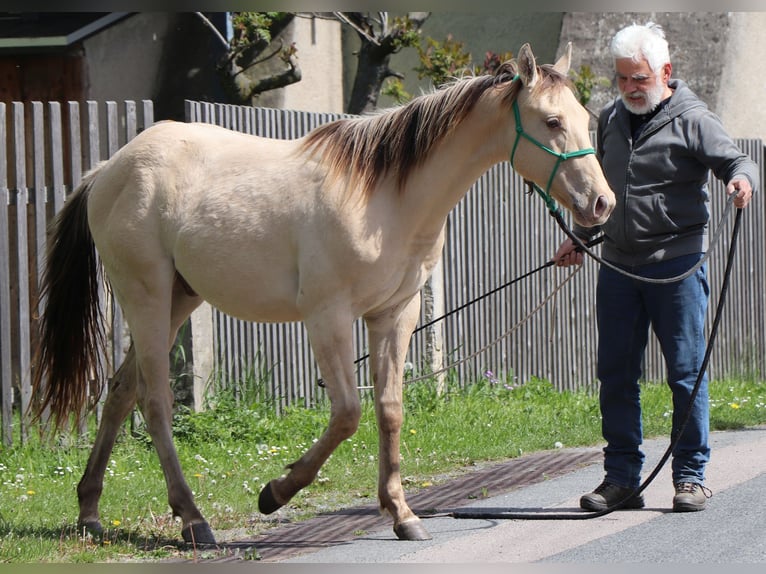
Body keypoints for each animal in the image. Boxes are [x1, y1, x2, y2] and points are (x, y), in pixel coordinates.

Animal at [31, 43, 614, 546]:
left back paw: (90, 512)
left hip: (180, 298)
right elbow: (348, 412)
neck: (387, 196)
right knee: (154, 403)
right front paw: (274, 493)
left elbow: (389, 409)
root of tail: (109, 169)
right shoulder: (328, 317)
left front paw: (402, 514)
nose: (602, 204)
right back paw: (193, 520)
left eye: (584, 118)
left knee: (120, 392)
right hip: (147, 299)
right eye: (552, 121)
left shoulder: (394, 315)